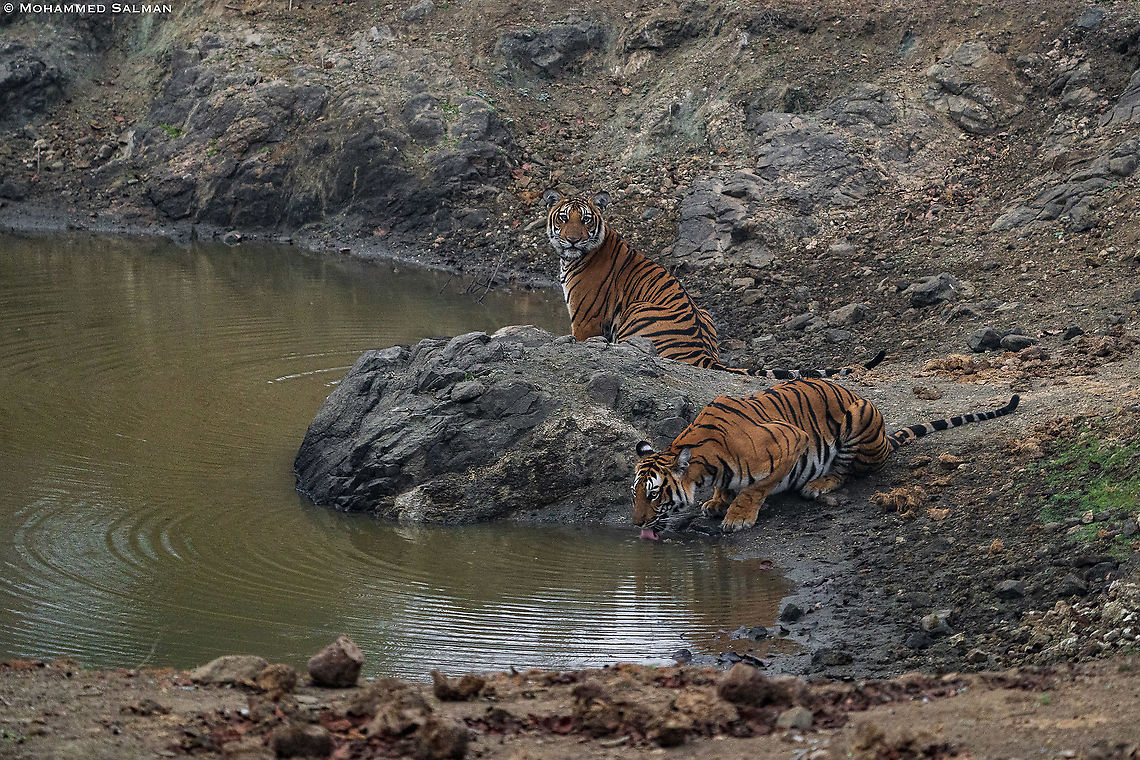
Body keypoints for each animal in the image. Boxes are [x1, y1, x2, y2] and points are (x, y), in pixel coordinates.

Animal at [543, 190, 884, 380]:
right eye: (563, 218)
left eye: (586, 220)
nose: (573, 239)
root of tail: (704, 354)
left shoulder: (585, 320)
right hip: (704, 310)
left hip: (636, 309)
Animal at [632, 378, 1019, 538]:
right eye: (633, 495)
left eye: (653, 494)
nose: (636, 524)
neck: (705, 466)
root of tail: (884, 438)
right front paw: (716, 501)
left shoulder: (792, 440)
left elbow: (755, 489)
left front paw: (738, 516)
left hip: (858, 419)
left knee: (848, 471)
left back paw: (818, 484)